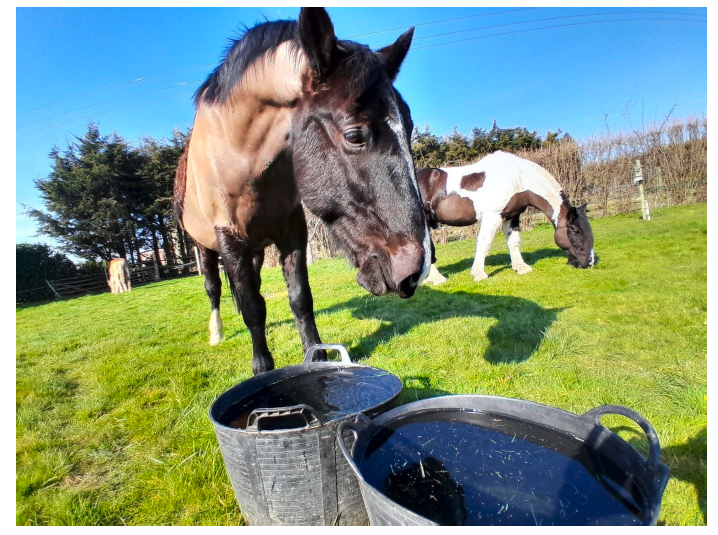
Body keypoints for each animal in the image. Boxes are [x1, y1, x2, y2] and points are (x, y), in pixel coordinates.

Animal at [174, 8, 431, 375]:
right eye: (354, 135)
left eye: (408, 126)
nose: (415, 272)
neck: (242, 159)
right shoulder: (230, 238)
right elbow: (253, 308)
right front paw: (262, 368)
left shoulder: (292, 231)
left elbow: (299, 298)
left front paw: (317, 356)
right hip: (205, 246)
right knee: (214, 288)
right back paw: (216, 333)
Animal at [417, 151, 594, 284]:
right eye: (576, 231)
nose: (590, 262)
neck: (517, 178)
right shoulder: (493, 217)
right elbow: (484, 244)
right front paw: (479, 274)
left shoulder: (512, 217)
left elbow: (514, 242)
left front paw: (521, 267)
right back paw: (437, 279)